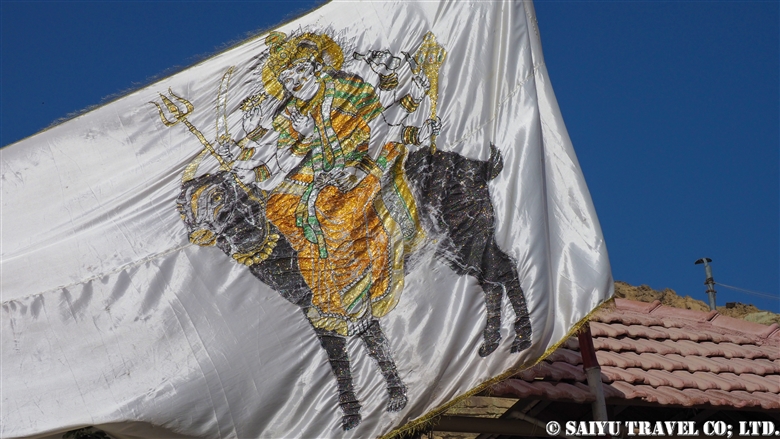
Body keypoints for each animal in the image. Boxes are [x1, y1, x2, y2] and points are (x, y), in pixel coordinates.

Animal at [175, 146, 532, 432]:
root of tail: (477, 166)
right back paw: (491, 343)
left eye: (218, 195)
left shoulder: (352, 304)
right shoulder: (321, 317)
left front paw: (391, 402)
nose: (201, 234)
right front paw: (359, 415)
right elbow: (345, 359)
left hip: (467, 234)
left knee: (503, 270)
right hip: (457, 247)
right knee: (490, 280)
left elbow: (370, 348)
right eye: (184, 209)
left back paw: (522, 338)